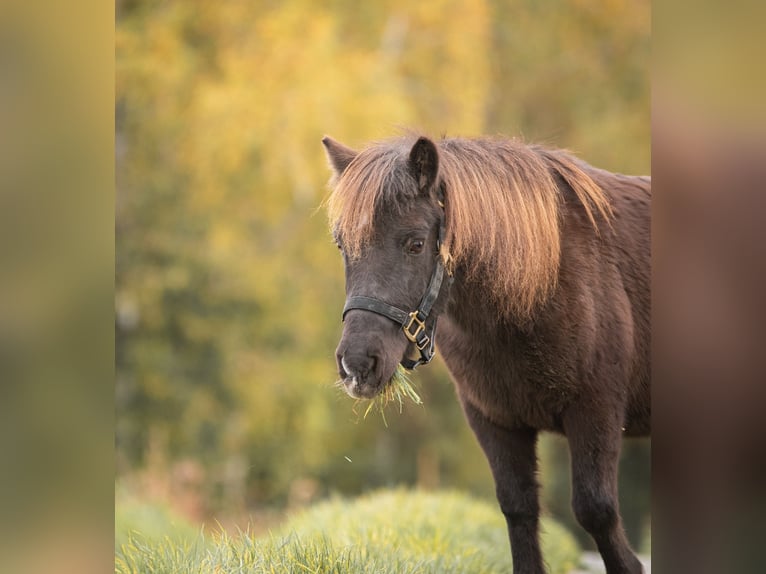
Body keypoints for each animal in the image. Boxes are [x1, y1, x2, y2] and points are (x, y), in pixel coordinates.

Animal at [320, 135, 652, 574]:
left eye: (415, 243)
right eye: (342, 245)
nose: (357, 364)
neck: (543, 283)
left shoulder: (596, 411)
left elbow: (596, 510)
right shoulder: (493, 419)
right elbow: (519, 509)